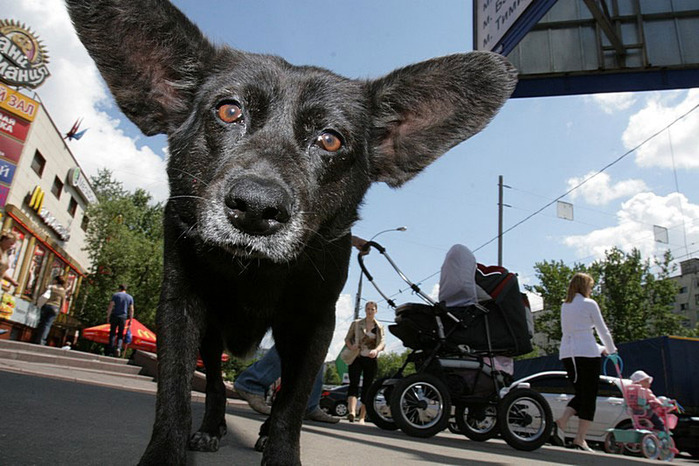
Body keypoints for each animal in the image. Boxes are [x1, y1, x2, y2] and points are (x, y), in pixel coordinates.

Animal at [68, 1, 516, 464]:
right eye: (229, 110)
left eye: (331, 140)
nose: (256, 207)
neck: (254, 272)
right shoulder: (181, 308)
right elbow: (173, 393)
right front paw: (168, 451)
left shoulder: (313, 324)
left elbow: (292, 403)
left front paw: (280, 448)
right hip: (213, 336)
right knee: (215, 383)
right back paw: (211, 427)